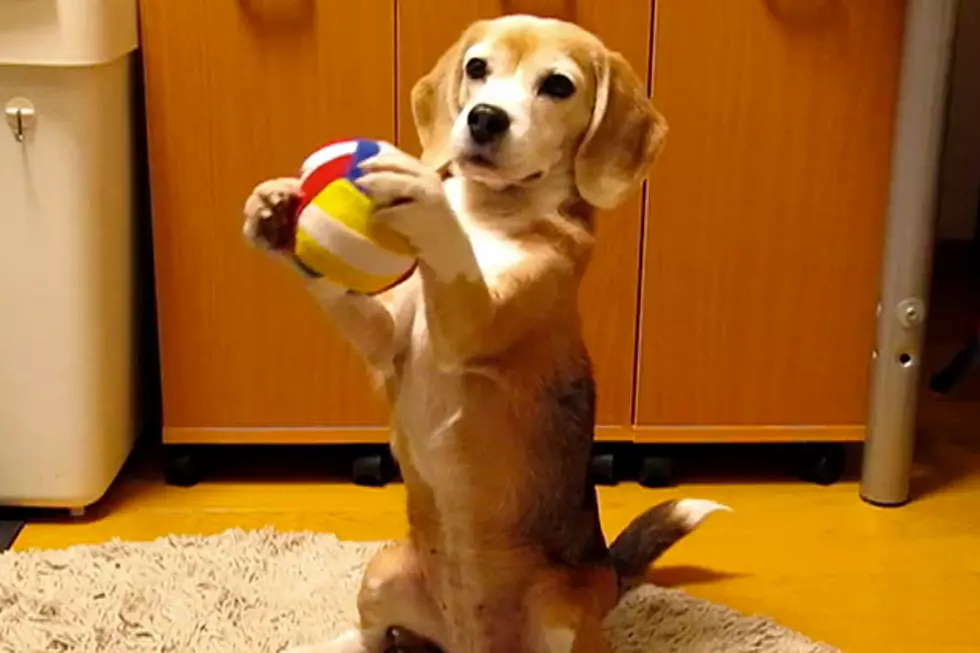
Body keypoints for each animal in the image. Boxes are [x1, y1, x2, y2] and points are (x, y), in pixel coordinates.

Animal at [243, 15, 728, 652]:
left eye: (558, 85)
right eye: (477, 68)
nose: (485, 118)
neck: (488, 213)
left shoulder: (472, 324)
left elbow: (453, 260)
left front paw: (421, 193)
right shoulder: (388, 341)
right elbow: (359, 309)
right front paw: (276, 215)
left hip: (558, 612)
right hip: (382, 573)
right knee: (372, 640)